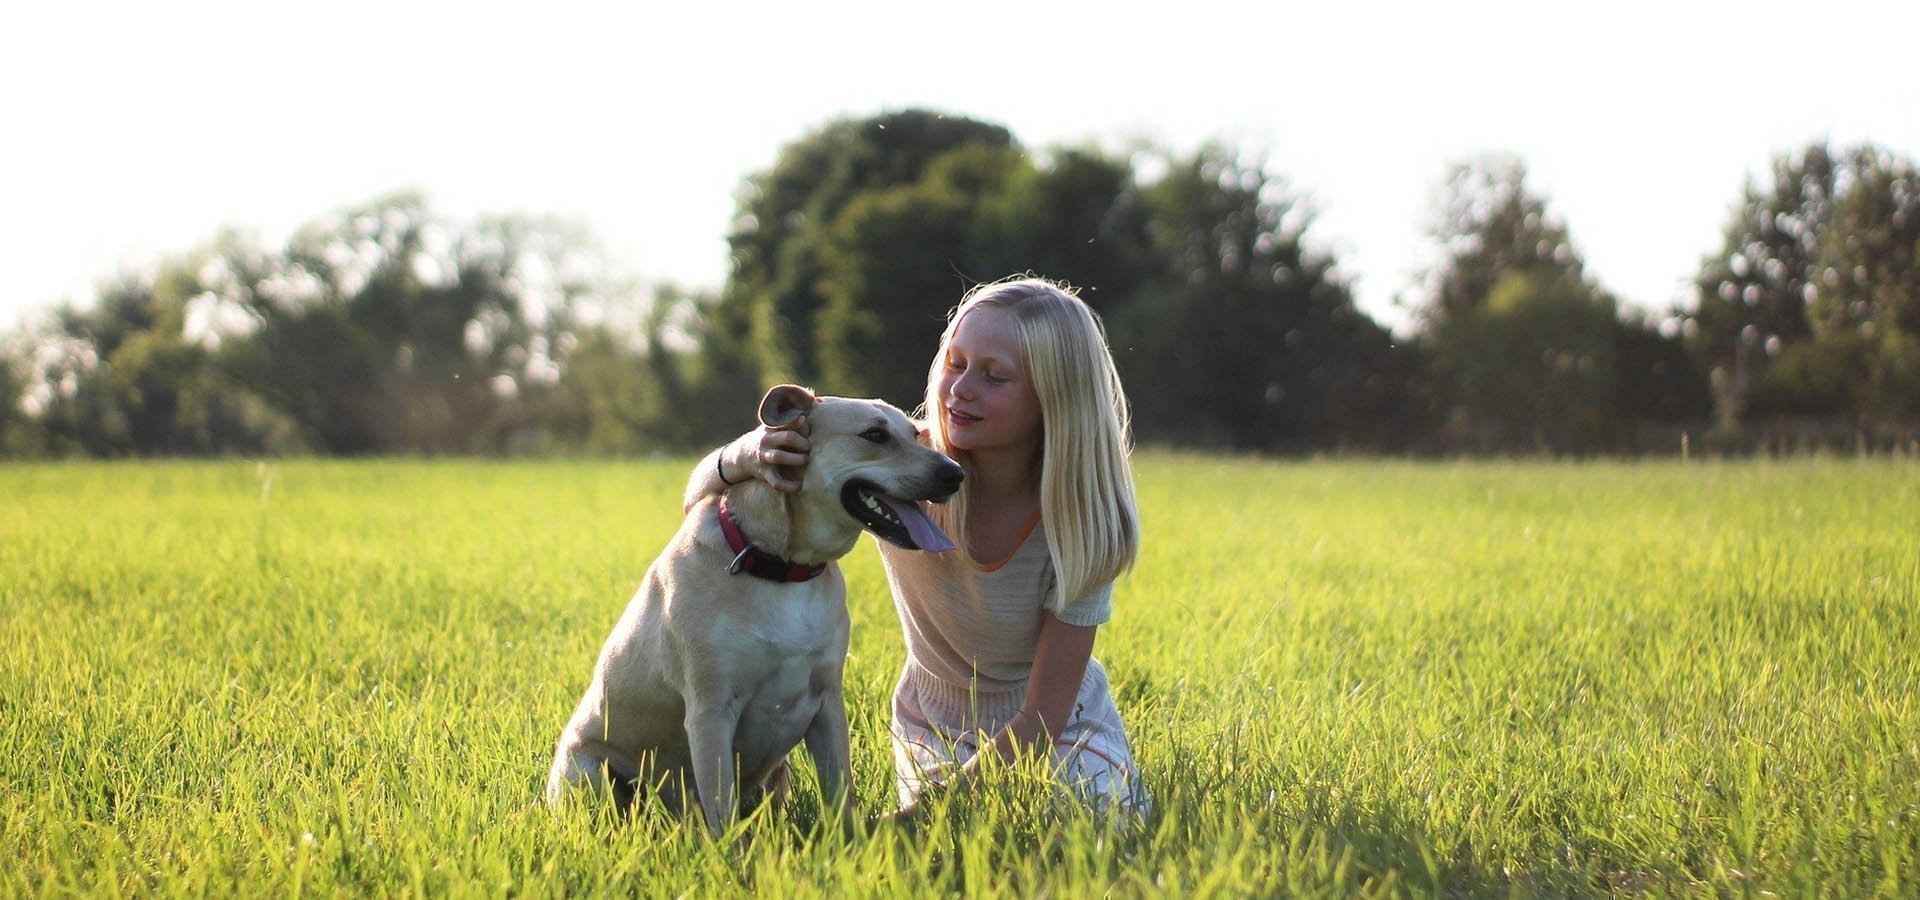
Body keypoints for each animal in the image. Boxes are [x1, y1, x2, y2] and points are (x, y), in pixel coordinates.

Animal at [541, 381, 960, 832]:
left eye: (915, 434)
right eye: (875, 435)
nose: (956, 473)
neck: (782, 568)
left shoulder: (828, 701)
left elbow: (840, 792)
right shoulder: (710, 711)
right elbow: (721, 809)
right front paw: (730, 851)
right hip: (589, 773)